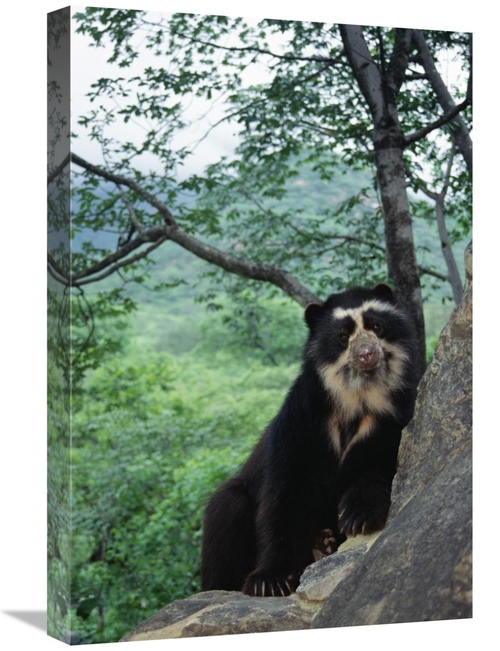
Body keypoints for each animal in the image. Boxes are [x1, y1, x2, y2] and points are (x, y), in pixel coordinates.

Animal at [200, 284, 418, 597]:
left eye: (376, 325)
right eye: (342, 337)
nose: (366, 354)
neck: (358, 398)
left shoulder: (394, 416)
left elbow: (381, 463)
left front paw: (357, 517)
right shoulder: (302, 420)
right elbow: (286, 491)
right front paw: (269, 581)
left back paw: (324, 544)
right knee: (226, 508)